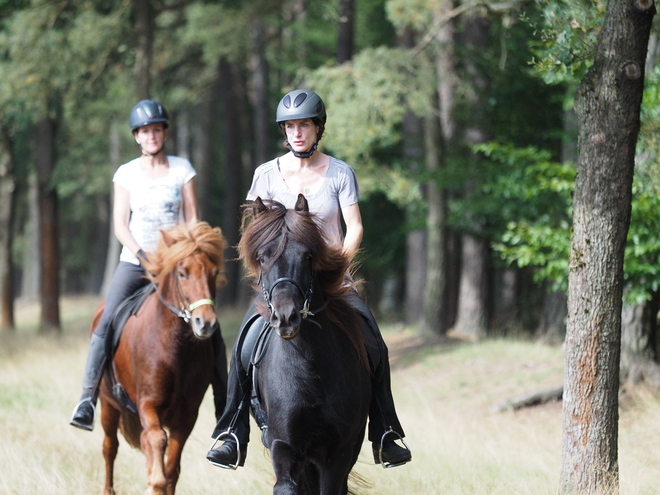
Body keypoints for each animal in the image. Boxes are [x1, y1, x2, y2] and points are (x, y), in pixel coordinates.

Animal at [94, 223, 226, 494]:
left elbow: (172, 468)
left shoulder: (187, 415)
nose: (206, 323)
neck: (176, 348)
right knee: (110, 447)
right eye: (182, 273)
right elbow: (157, 442)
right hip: (108, 403)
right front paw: (154, 483)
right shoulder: (148, 403)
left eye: (214, 272)